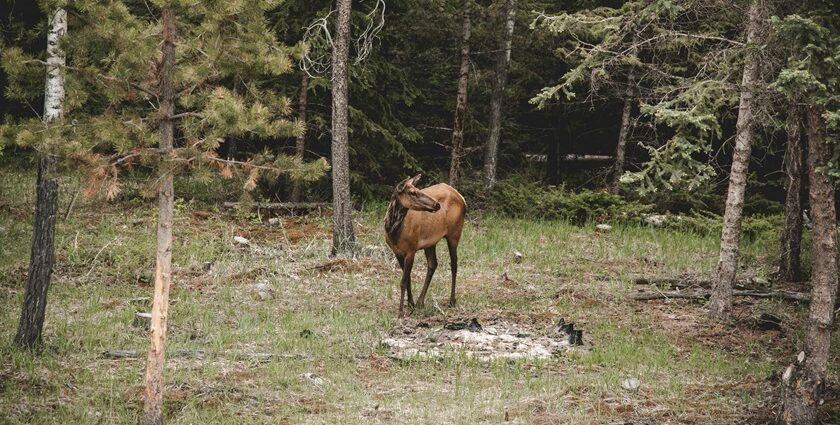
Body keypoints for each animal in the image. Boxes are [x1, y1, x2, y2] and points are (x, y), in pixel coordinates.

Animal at [386, 172, 466, 314]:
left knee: (454, 263)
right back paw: (420, 301)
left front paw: (401, 311)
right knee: (433, 264)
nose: (437, 205)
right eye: (412, 192)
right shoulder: (397, 252)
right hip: (430, 242)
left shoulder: (411, 249)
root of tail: (462, 198)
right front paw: (410, 304)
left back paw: (452, 301)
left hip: (454, 233)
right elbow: (407, 279)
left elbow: (403, 281)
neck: (393, 232)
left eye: (417, 189)